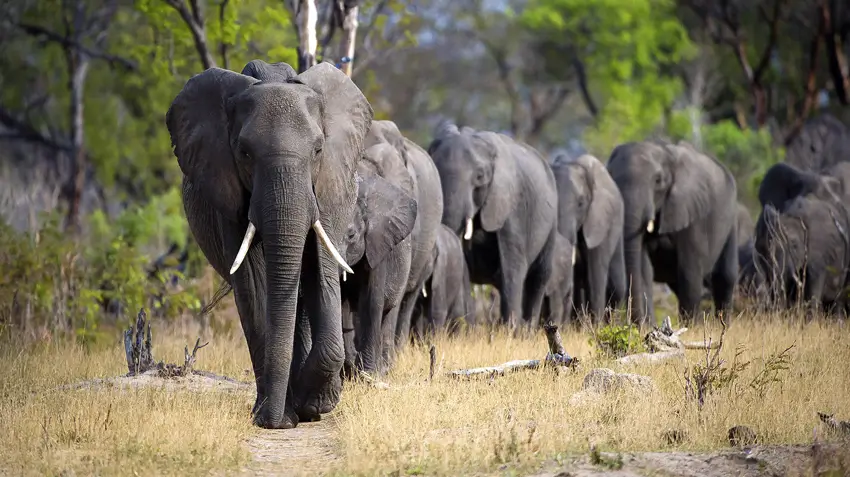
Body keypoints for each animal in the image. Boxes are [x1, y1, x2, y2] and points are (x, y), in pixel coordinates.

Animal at [165, 60, 373, 429]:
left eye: (318, 150)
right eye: (244, 153)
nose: (274, 421)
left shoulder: (329, 185)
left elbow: (320, 268)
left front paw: (313, 404)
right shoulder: (226, 190)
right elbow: (253, 281)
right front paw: (278, 416)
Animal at [340, 142, 418, 376]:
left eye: (351, 235)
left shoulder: (378, 244)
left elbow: (372, 301)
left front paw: (368, 375)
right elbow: (341, 302)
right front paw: (349, 371)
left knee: (388, 311)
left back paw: (385, 369)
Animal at [427, 123, 558, 330]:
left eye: (480, 177)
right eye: (435, 170)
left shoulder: (511, 205)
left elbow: (512, 265)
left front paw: (510, 332)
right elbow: (464, 267)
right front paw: (469, 330)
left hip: (552, 220)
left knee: (538, 277)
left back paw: (527, 331)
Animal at [606, 140, 739, 326]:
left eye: (658, 180)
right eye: (610, 176)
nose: (638, 324)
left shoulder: (692, 211)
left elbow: (689, 270)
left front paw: (691, 327)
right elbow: (644, 269)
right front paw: (648, 327)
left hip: (730, 219)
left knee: (724, 276)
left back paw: (722, 326)